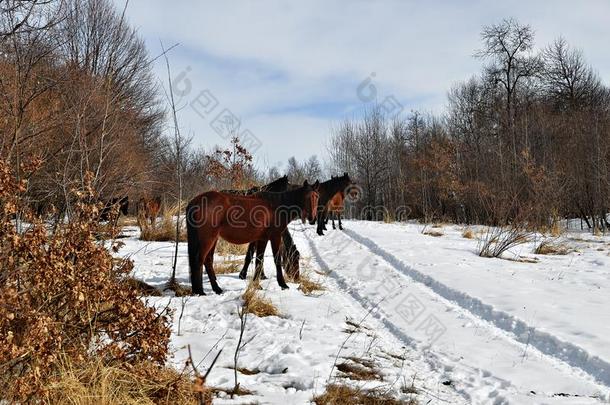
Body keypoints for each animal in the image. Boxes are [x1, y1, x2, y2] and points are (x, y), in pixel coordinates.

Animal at [185, 180, 318, 294]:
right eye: (295, 259)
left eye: (316, 197)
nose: (312, 218)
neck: (275, 206)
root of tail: (195, 202)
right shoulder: (275, 237)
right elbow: (276, 260)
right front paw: (283, 284)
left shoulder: (262, 239)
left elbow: (259, 259)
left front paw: (256, 284)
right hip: (208, 239)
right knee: (199, 260)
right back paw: (200, 291)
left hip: (213, 239)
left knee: (208, 260)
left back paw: (216, 289)